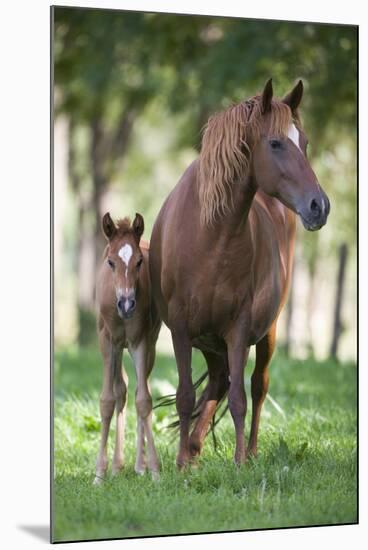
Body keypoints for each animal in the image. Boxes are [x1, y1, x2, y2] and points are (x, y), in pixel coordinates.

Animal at [150, 81, 330, 470]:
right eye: (276, 143)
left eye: (305, 142)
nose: (319, 206)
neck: (210, 236)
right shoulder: (181, 329)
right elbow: (186, 395)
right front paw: (181, 465)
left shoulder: (239, 330)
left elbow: (239, 400)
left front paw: (238, 463)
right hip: (209, 341)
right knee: (217, 382)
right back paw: (193, 449)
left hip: (265, 334)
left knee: (256, 386)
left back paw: (249, 451)